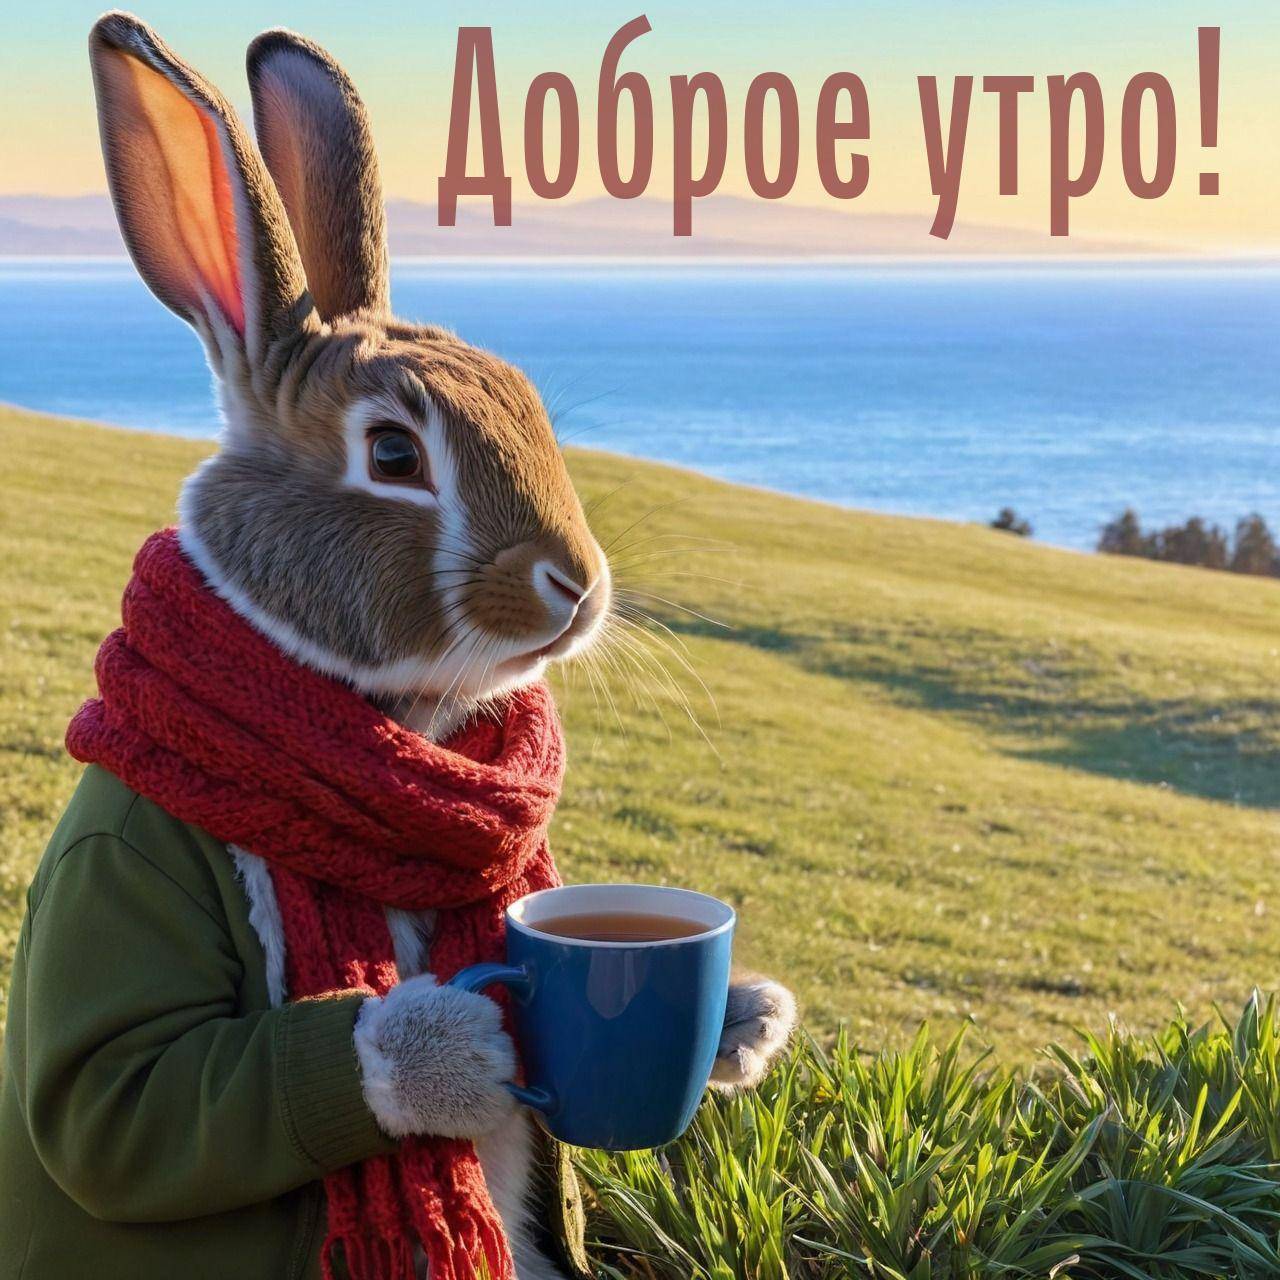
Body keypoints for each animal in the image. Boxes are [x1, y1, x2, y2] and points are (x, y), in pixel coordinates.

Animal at [83, 12, 797, 1277]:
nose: (577, 583)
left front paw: (746, 1017)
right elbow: (123, 1104)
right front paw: (443, 1049)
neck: (394, 722)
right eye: (392, 454)